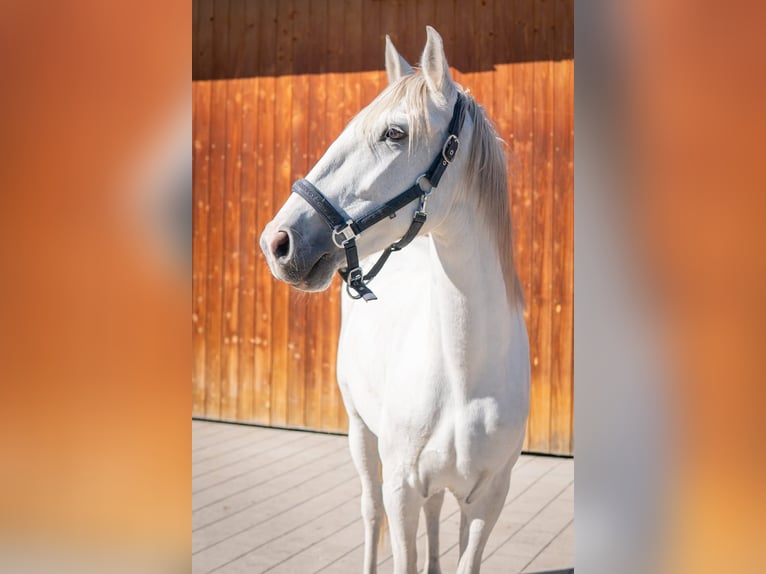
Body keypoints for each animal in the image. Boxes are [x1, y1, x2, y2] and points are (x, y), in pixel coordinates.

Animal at [260, 26, 530, 574]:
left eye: (394, 134)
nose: (278, 243)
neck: (464, 376)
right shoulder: (400, 488)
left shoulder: (489, 500)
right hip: (361, 435)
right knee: (370, 512)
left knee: (434, 512)